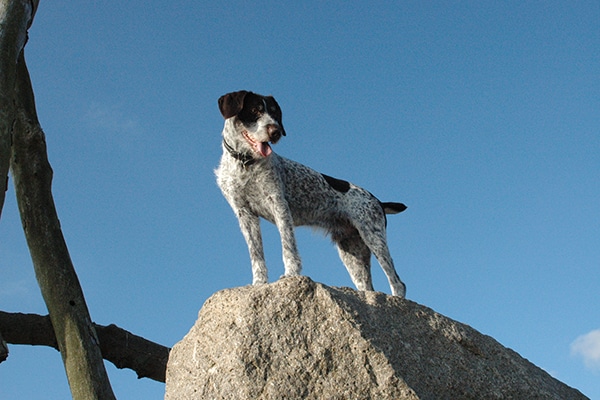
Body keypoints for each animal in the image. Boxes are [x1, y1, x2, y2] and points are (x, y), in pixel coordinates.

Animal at [216, 90, 408, 296]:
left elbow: (288, 246)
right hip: (353, 252)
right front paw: (259, 283)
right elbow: (257, 255)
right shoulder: (245, 214)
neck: (245, 163)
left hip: (374, 237)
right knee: (368, 287)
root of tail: (378, 201)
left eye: (275, 113)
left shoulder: (278, 204)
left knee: (397, 282)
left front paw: (290, 274)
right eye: (254, 110)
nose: (276, 132)